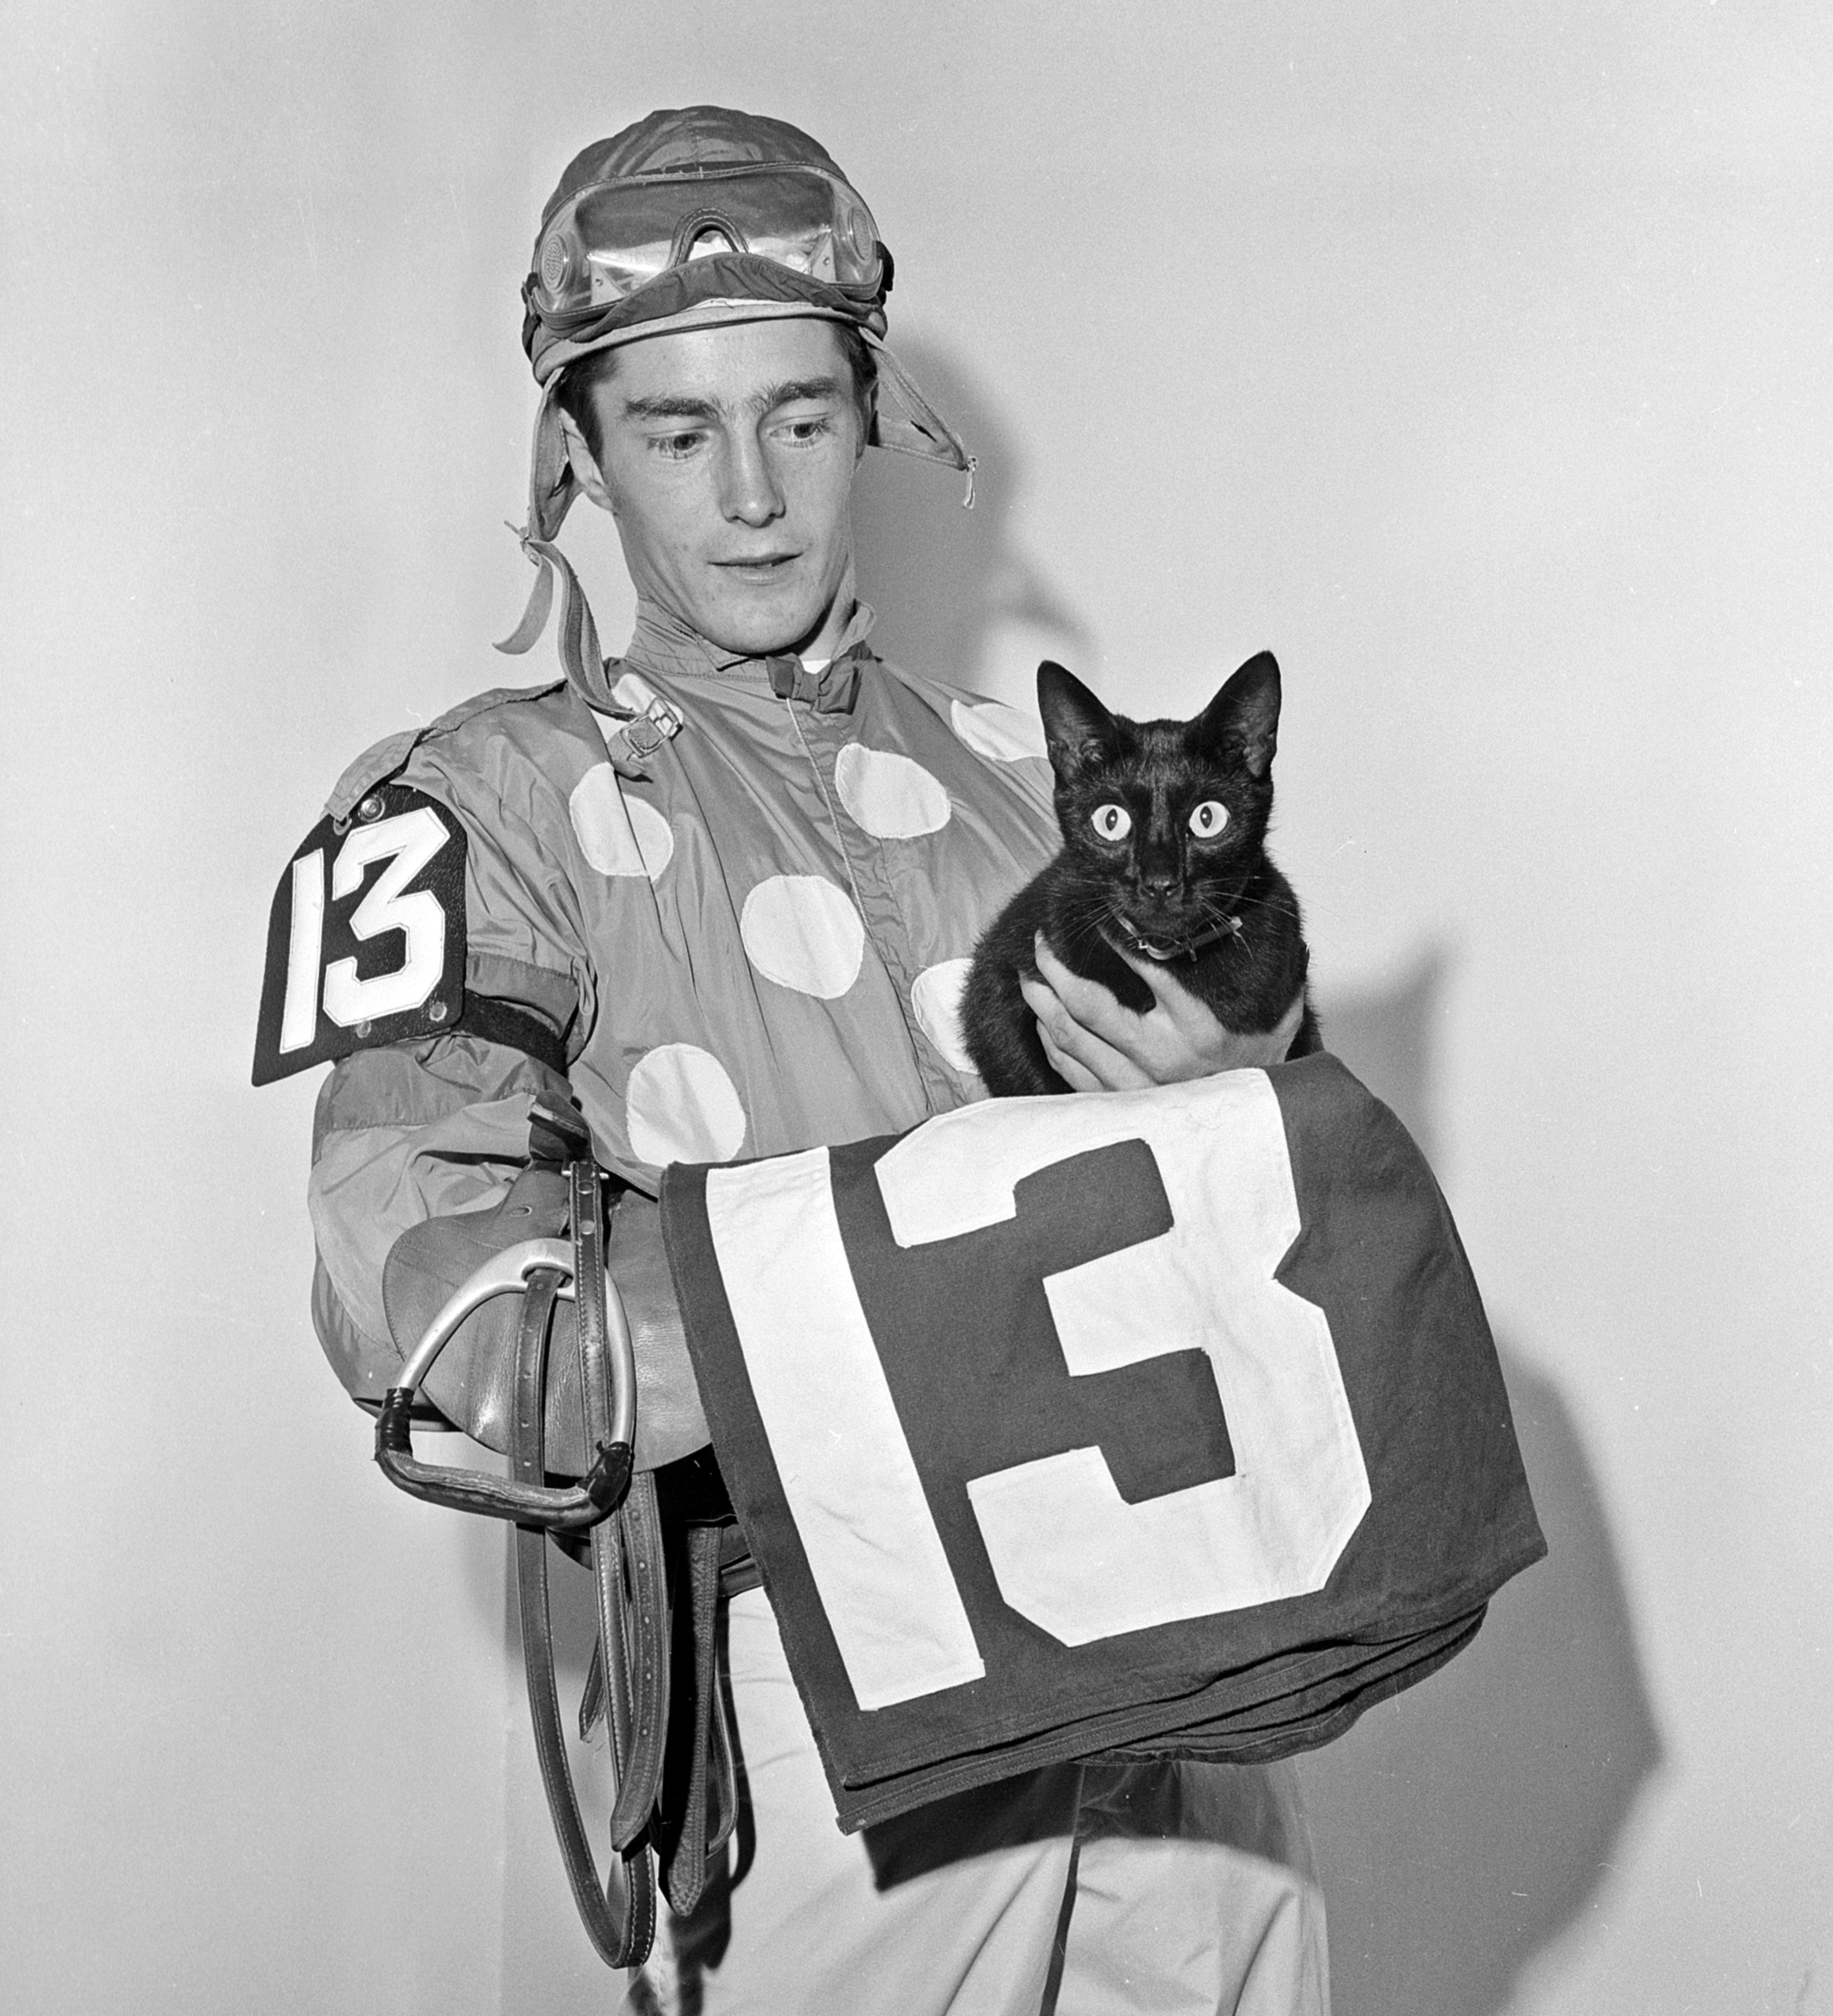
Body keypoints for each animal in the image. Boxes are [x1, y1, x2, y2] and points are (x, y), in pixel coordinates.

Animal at [960, 653, 1314, 1097]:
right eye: (1111, 820)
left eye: (1208, 818)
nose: (1160, 883)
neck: (1171, 960)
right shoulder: (1000, 979)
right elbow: (1029, 1078)